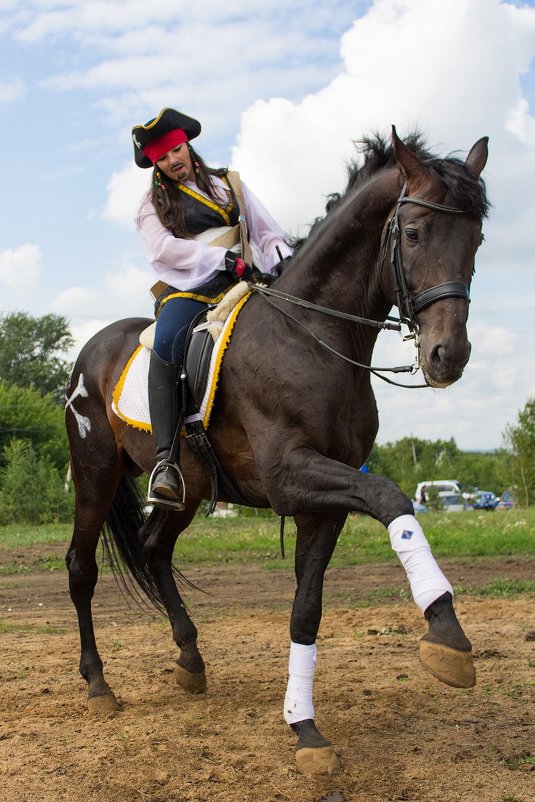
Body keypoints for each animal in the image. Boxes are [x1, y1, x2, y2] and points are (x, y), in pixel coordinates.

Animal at [63, 128, 490, 772]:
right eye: (413, 233)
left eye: (478, 238)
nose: (449, 355)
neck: (312, 337)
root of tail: (89, 352)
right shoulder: (292, 476)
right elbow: (391, 496)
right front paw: (446, 632)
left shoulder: (324, 501)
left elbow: (306, 610)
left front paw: (304, 727)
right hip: (96, 473)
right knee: (81, 567)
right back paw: (97, 683)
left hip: (188, 488)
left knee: (155, 546)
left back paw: (190, 659)